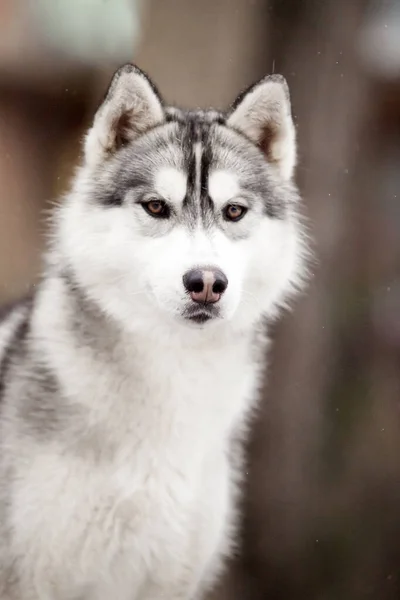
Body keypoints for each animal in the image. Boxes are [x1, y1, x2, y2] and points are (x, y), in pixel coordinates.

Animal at [0, 65, 308, 600]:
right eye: (156, 207)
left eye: (233, 211)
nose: (206, 282)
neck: (174, 374)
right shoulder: (31, 573)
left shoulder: (170, 577)